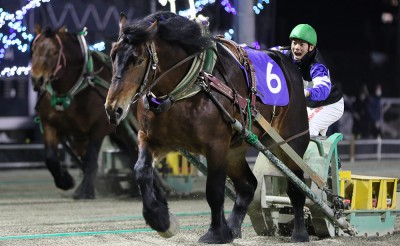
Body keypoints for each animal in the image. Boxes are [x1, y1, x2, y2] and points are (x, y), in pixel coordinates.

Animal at [30, 26, 138, 200]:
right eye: (33, 50)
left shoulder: (98, 127)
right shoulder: (49, 124)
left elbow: (91, 159)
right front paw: (65, 181)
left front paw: (85, 190)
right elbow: (50, 158)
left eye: (54, 52)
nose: (37, 79)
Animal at [104, 11, 310, 242]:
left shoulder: (216, 145)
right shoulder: (152, 138)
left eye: (138, 60)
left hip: (291, 143)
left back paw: (300, 233)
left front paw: (216, 232)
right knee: (248, 185)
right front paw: (160, 219)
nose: (113, 109)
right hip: (235, 150)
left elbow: (214, 190)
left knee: (296, 186)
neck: (187, 88)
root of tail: (288, 62)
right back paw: (233, 227)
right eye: (113, 55)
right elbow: (141, 171)